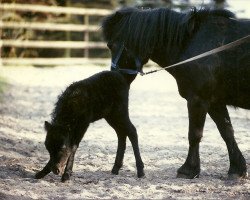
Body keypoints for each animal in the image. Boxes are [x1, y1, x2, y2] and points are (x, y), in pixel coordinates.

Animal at [102, 7, 250, 179]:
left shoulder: (197, 100)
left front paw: (188, 169)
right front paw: (237, 169)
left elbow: (194, 134)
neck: (193, 43)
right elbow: (227, 132)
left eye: (111, 45)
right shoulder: (215, 102)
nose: (113, 80)